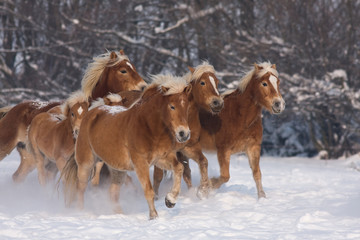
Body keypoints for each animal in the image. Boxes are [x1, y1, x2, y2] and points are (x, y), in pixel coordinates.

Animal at [0, 49, 146, 183]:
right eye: (123, 70)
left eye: (134, 67)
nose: (143, 87)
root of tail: (12, 109)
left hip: (30, 158)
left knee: (18, 177)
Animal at [60, 74, 193, 219]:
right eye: (172, 106)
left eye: (187, 107)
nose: (184, 134)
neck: (149, 127)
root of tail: (90, 113)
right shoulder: (140, 163)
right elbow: (149, 190)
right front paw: (154, 216)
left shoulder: (161, 158)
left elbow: (179, 168)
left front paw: (170, 200)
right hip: (86, 164)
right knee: (81, 187)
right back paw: (81, 212)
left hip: (117, 169)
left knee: (112, 192)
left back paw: (120, 215)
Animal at [150, 62, 224, 199]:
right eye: (202, 82)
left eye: (217, 82)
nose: (218, 103)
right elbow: (158, 176)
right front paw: (156, 198)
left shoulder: (188, 147)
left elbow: (202, 162)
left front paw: (203, 190)